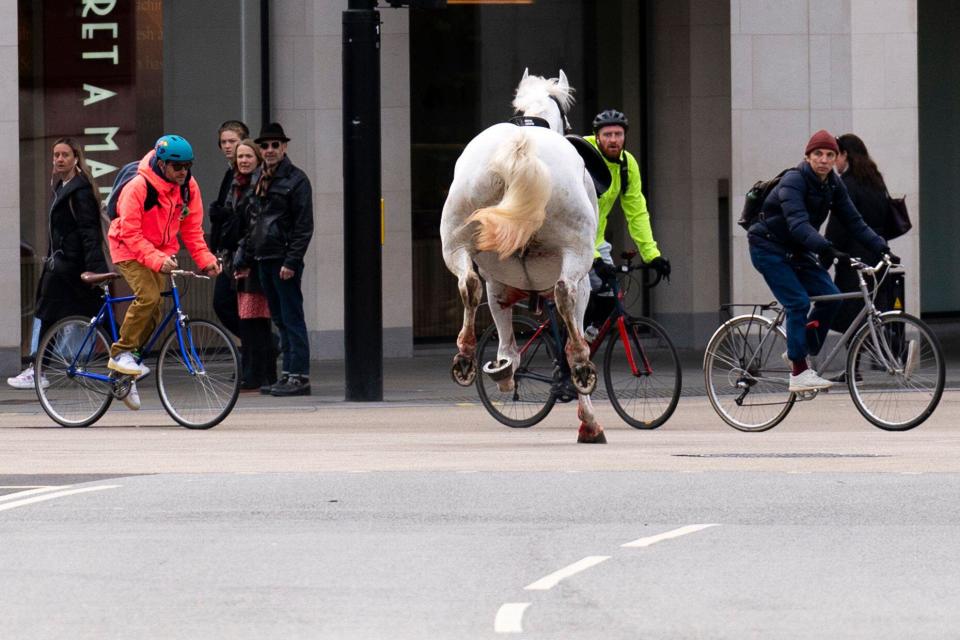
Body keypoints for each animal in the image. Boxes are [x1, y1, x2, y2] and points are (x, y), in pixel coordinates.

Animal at [438, 69, 604, 440]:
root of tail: (520, 146)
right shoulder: (584, 283)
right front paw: (589, 421)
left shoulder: (498, 283)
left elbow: (504, 332)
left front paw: (503, 369)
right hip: (575, 252)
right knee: (565, 294)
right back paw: (581, 367)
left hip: (456, 240)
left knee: (469, 285)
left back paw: (467, 356)